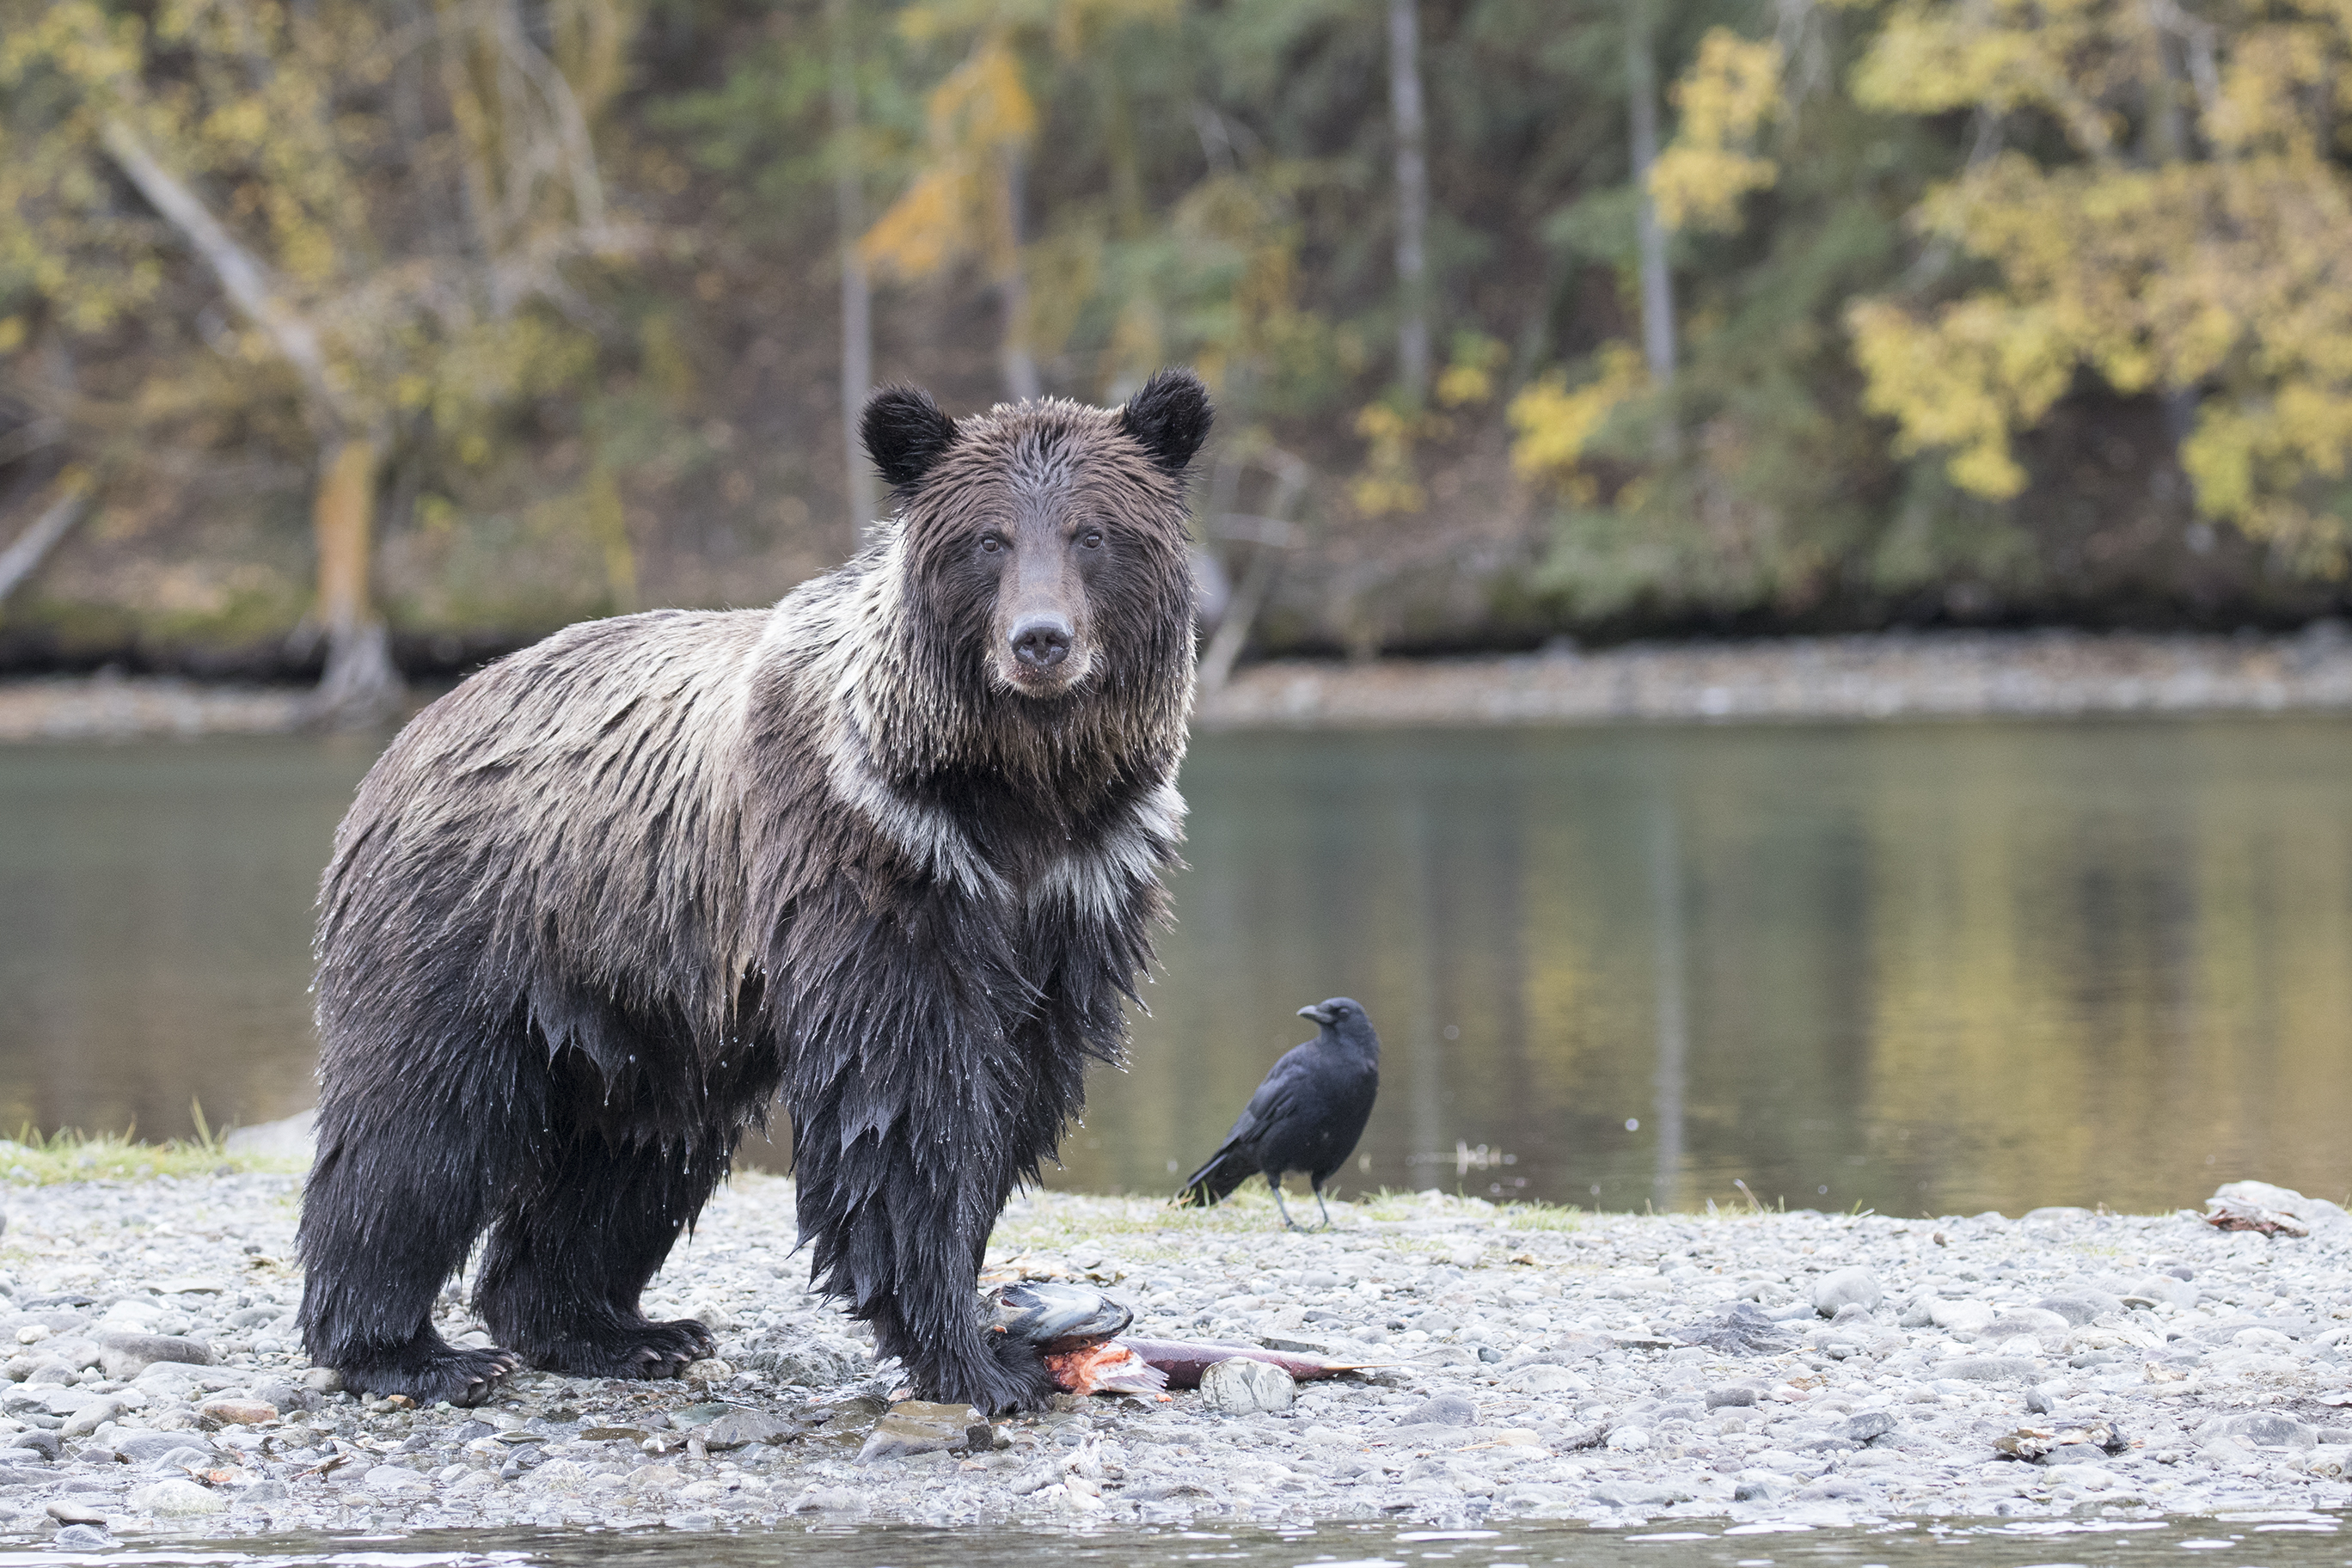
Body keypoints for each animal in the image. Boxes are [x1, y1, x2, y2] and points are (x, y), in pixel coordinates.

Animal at [295, 370, 1211, 1415]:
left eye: (1093, 532)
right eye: (989, 539)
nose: (1041, 641)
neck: (1012, 791)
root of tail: (422, 721)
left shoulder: (1072, 892)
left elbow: (1015, 1087)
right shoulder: (872, 858)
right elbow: (903, 1096)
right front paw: (977, 1358)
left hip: (641, 996)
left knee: (635, 1154)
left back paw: (622, 1331)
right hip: (475, 920)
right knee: (417, 1125)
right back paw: (412, 1351)